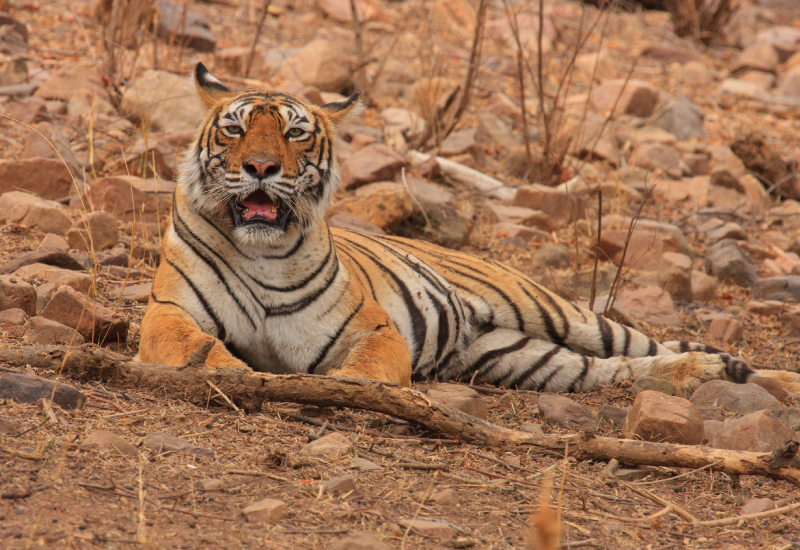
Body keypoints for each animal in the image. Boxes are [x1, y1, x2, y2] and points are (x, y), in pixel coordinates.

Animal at [139, 63, 800, 402]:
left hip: (558, 311)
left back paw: (749, 377)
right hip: (523, 359)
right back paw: (706, 376)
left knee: (645, 346)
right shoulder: (170, 314)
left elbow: (372, 366)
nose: (260, 168)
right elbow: (203, 351)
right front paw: (232, 372)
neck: (264, 254)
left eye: (295, 133)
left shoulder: (370, 327)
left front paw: (350, 390)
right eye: (234, 129)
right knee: (610, 371)